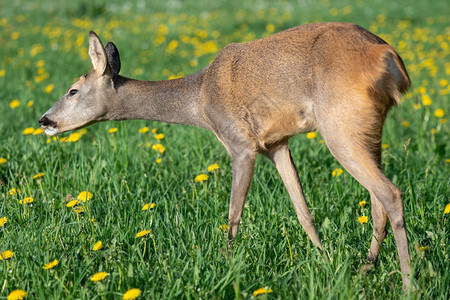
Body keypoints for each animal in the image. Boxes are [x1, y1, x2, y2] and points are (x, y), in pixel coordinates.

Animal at [40, 22, 414, 286]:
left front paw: (227, 265)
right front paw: (325, 260)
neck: (200, 100)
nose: (45, 121)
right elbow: (302, 210)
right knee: (377, 201)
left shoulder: (240, 143)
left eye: (73, 90)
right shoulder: (276, 144)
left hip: (340, 126)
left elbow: (233, 215)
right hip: (368, 130)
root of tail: (389, 57)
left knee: (390, 194)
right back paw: (366, 268)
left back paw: (409, 282)